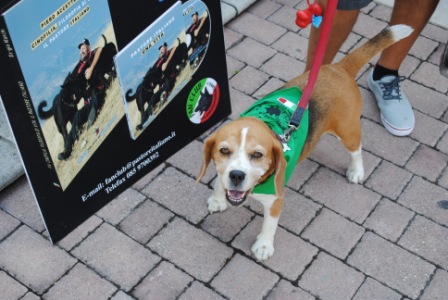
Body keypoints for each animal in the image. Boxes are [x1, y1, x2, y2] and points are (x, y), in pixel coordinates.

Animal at [196, 25, 412, 260]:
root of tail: (338, 68)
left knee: (356, 150)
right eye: (224, 150)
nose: (236, 175)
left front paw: (263, 246)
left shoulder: (276, 199)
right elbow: (219, 180)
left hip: (347, 131)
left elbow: (269, 225)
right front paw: (218, 199)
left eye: (257, 155)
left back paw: (356, 171)